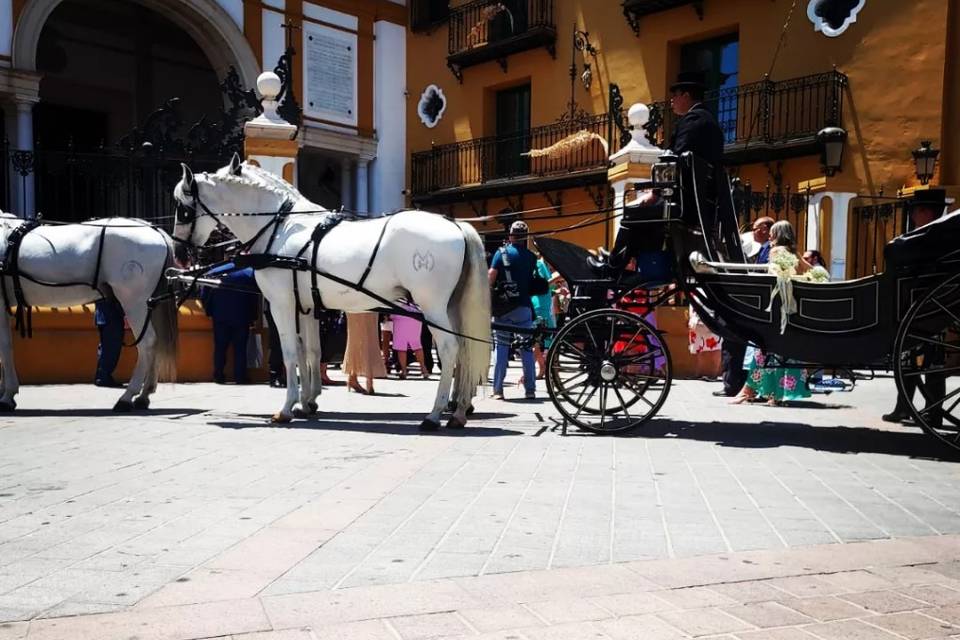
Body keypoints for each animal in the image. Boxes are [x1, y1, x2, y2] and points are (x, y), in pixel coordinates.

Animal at [0, 212, 178, 408]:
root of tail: (154, 230)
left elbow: (5, 348)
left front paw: (7, 395)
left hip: (134, 302)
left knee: (147, 343)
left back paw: (127, 396)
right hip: (149, 304)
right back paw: (144, 394)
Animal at [172, 155, 492, 430]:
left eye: (182, 207)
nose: (179, 254)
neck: (281, 227)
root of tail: (455, 224)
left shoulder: (281, 304)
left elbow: (290, 353)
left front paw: (286, 408)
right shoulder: (306, 306)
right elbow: (310, 351)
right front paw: (307, 402)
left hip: (432, 306)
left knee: (449, 349)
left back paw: (435, 414)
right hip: (451, 307)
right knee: (464, 349)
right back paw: (458, 410)